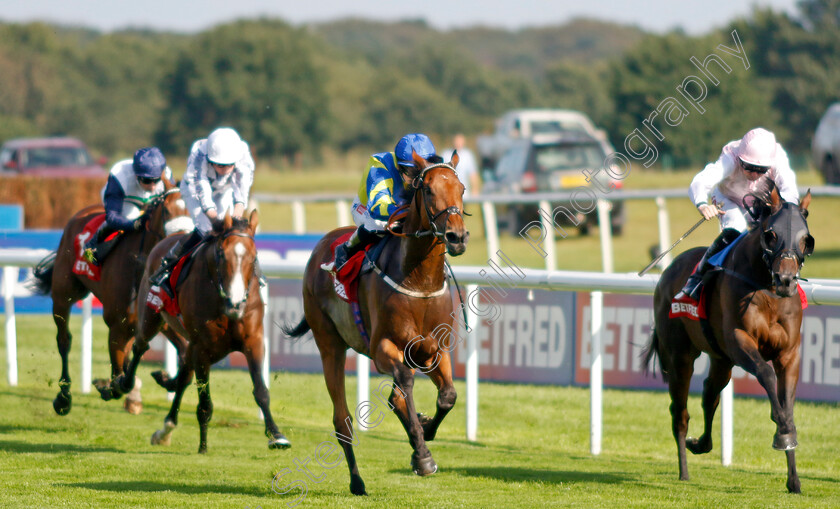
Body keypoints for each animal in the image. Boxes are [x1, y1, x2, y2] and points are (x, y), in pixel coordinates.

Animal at [28, 177, 193, 414]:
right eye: (167, 210)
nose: (180, 241)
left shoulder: (154, 320)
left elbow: (181, 351)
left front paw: (165, 379)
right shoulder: (118, 327)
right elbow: (121, 377)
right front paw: (109, 386)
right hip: (63, 294)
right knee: (64, 340)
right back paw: (64, 397)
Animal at [111, 210, 290, 452]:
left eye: (254, 257)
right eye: (222, 255)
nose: (235, 304)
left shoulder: (253, 341)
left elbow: (261, 391)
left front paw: (276, 435)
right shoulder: (203, 349)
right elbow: (205, 401)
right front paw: (203, 446)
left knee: (183, 374)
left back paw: (166, 428)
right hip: (151, 315)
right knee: (141, 345)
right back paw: (124, 384)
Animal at [280, 149, 466, 494]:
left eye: (461, 188)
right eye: (428, 190)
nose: (457, 237)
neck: (419, 280)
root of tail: (320, 246)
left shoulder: (435, 349)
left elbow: (447, 396)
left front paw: (425, 429)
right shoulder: (383, 348)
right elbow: (404, 384)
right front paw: (422, 455)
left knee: (397, 398)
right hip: (330, 344)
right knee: (342, 421)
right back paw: (357, 481)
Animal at [644, 185, 812, 490]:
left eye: (806, 239)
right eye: (771, 234)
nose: (786, 280)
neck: (767, 290)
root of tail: (669, 270)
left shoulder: (788, 353)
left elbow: (787, 405)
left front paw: (793, 478)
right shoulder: (739, 341)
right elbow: (766, 375)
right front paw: (782, 432)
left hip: (720, 359)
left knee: (710, 394)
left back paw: (700, 444)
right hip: (679, 355)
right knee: (680, 413)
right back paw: (684, 469)